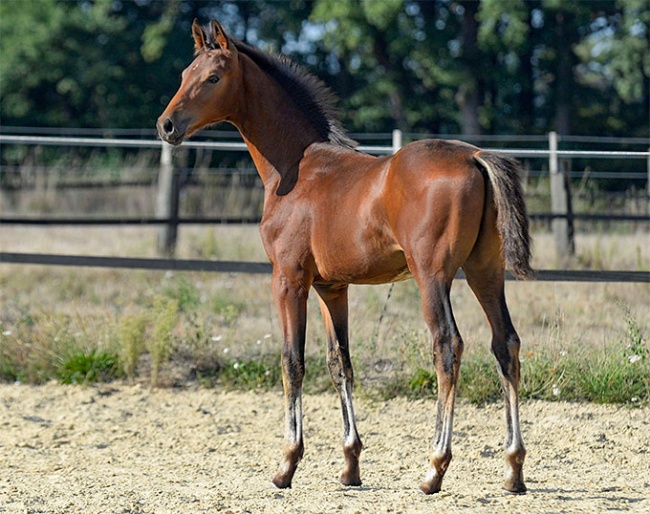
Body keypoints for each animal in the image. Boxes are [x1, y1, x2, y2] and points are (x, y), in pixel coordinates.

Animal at [158, 19, 532, 492]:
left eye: (213, 77)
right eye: (184, 74)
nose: (167, 125)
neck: (294, 170)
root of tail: (476, 156)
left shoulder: (288, 279)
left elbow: (292, 362)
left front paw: (287, 463)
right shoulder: (331, 288)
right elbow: (341, 364)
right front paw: (350, 464)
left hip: (432, 275)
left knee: (448, 346)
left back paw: (434, 467)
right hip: (485, 271)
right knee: (506, 344)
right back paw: (513, 468)